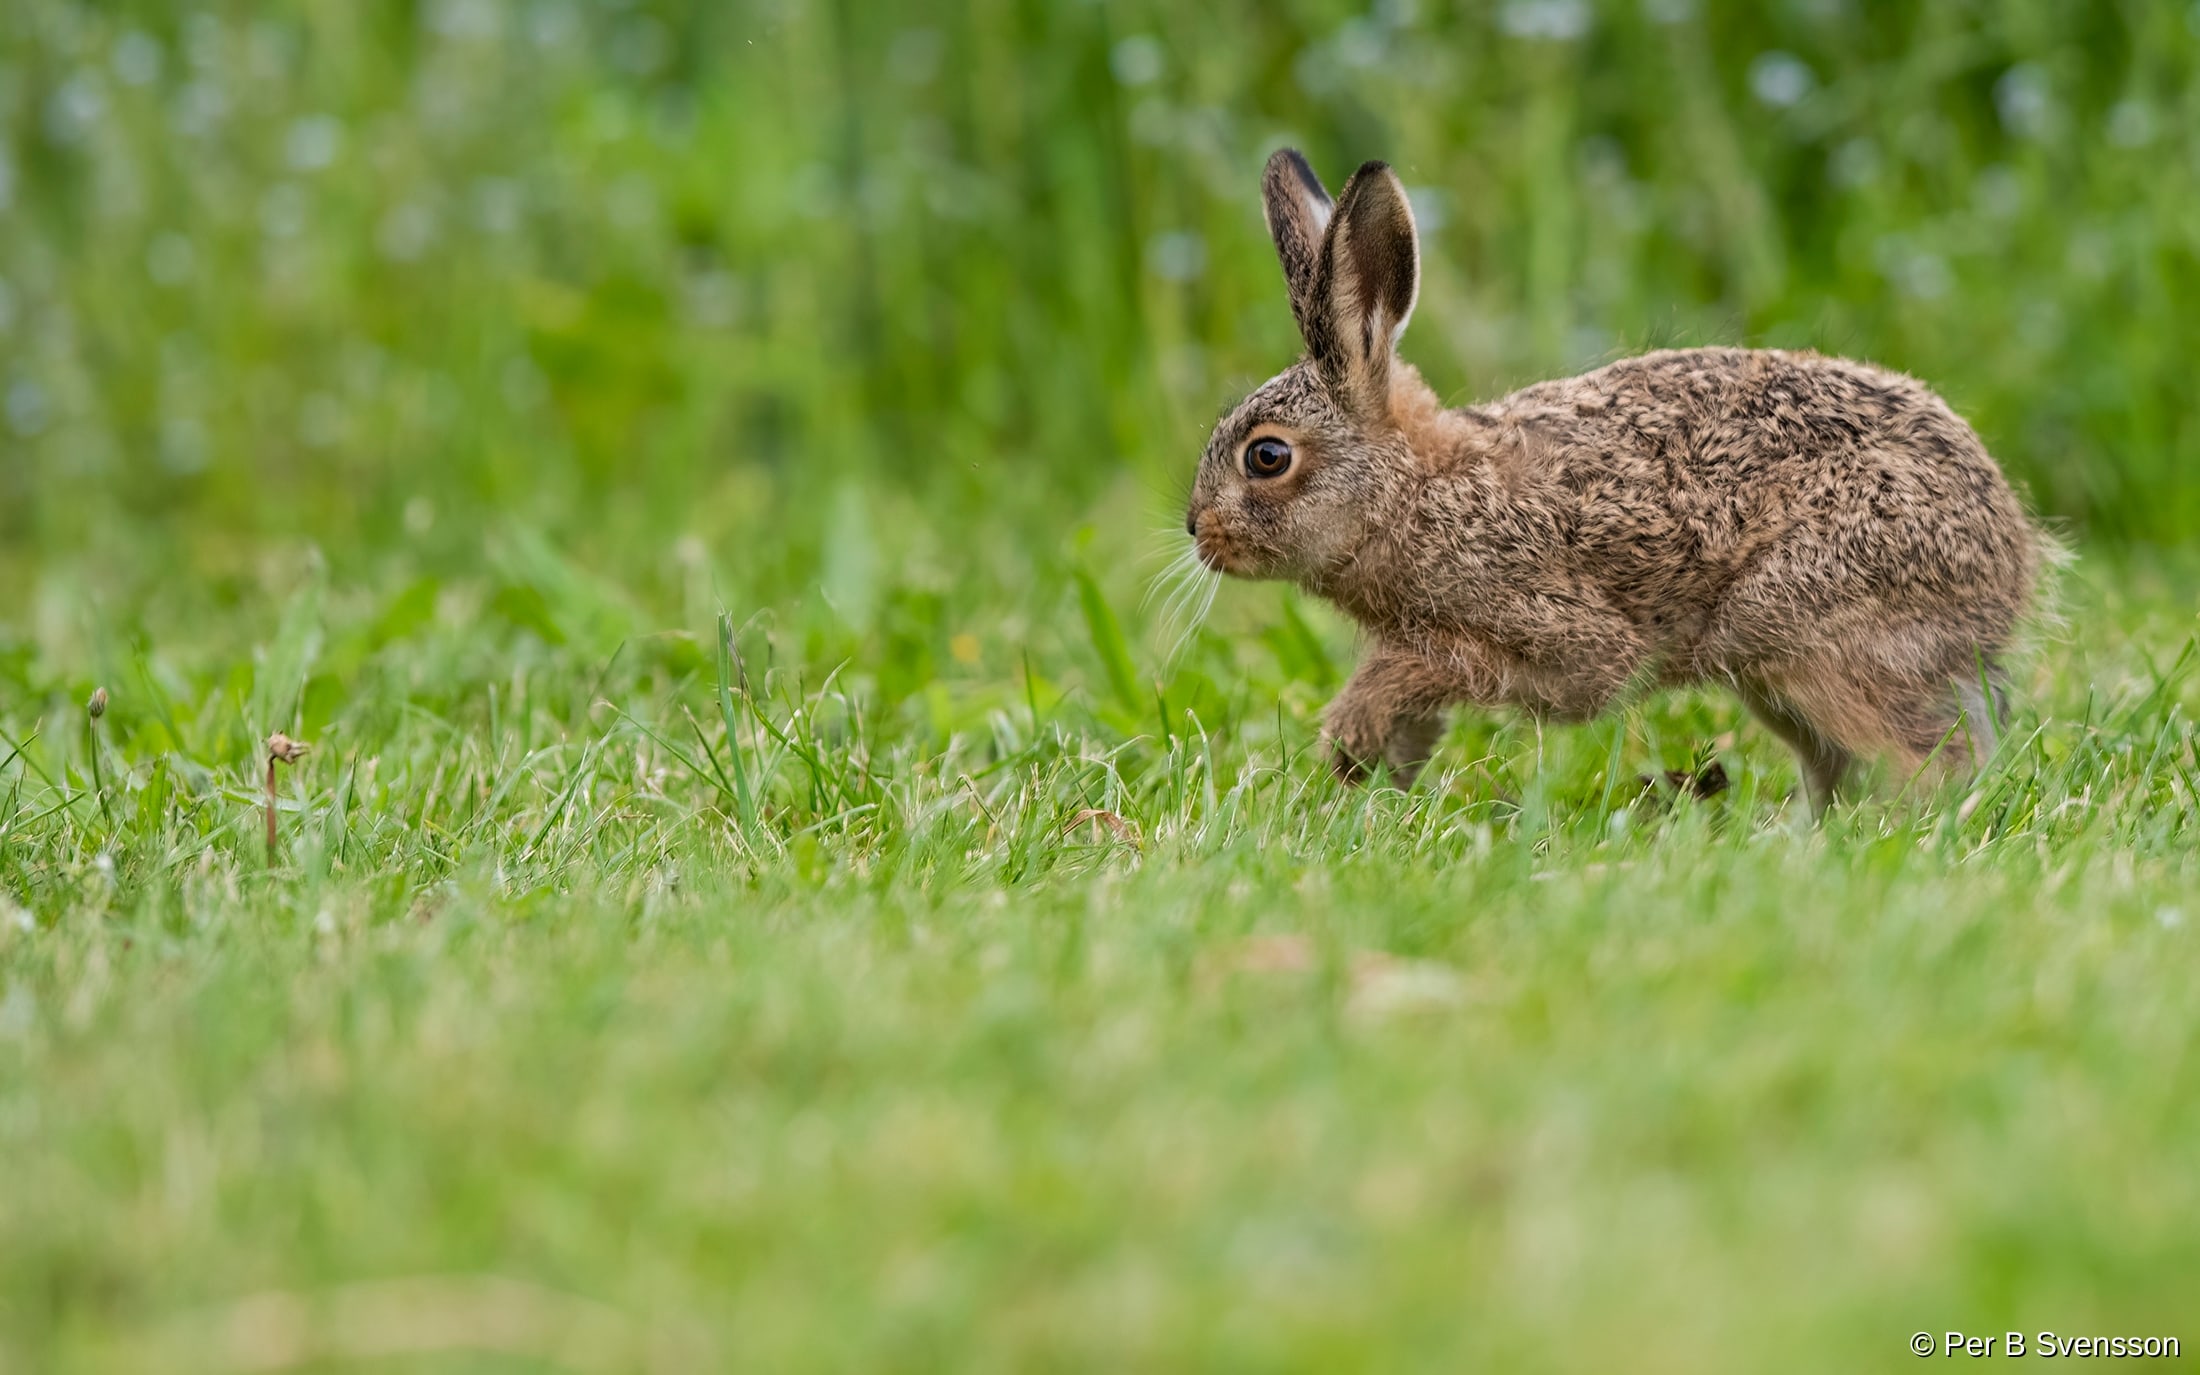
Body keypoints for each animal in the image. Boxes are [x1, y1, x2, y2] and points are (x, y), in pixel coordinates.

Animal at [1184, 150, 2043, 817]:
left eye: (1267, 457)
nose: (1198, 531)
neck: (1414, 490)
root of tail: (2010, 555)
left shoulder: (1555, 633)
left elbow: (1445, 669)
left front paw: (1348, 736)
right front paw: (1359, 775)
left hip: (1814, 629)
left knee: (1931, 751)